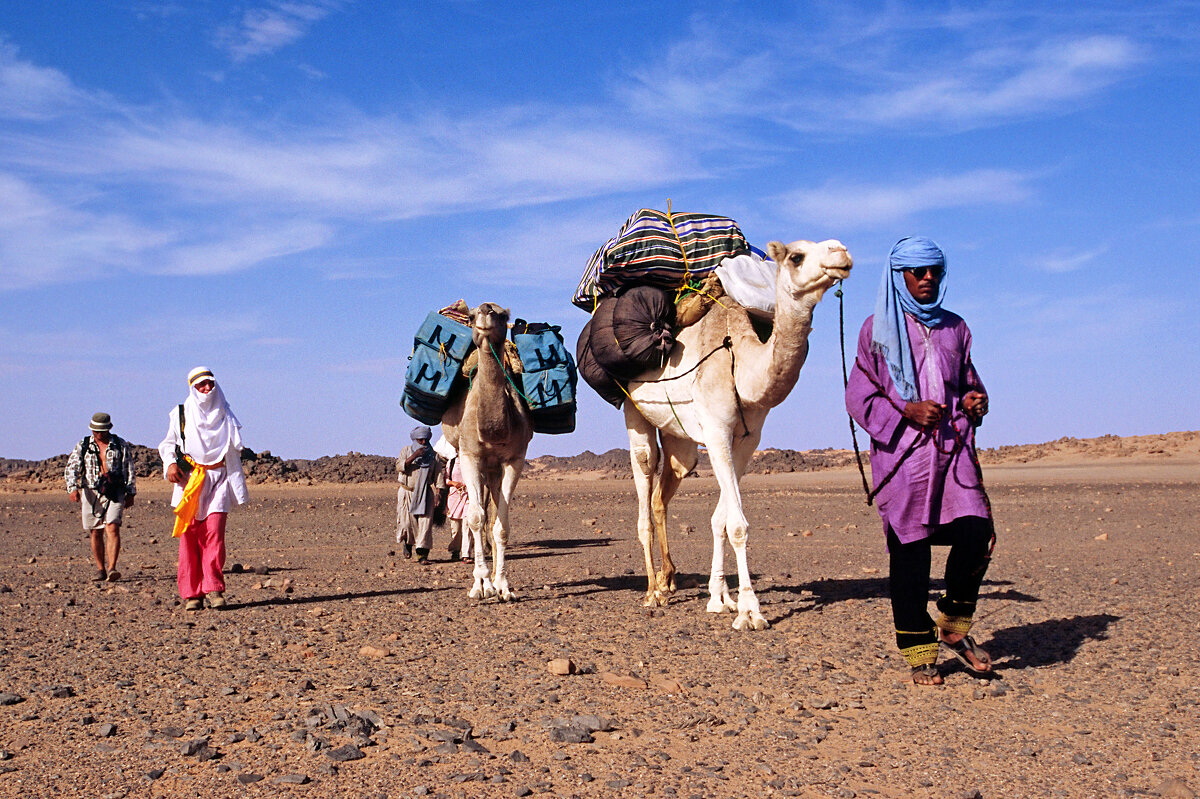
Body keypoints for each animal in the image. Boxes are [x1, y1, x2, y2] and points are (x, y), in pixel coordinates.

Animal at [436, 303, 530, 597]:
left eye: (504, 316)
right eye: (470, 315)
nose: (486, 311)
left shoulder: (514, 459)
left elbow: (501, 525)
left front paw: (503, 586)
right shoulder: (470, 456)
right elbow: (475, 518)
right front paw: (482, 585)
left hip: (494, 468)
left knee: (493, 514)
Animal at [619, 236, 854, 628]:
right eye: (797, 256)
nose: (842, 254)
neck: (741, 364)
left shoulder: (747, 440)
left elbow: (719, 520)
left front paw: (720, 599)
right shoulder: (716, 432)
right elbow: (738, 525)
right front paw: (750, 612)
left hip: (680, 440)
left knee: (663, 492)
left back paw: (668, 581)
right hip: (633, 411)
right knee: (644, 481)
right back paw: (652, 592)